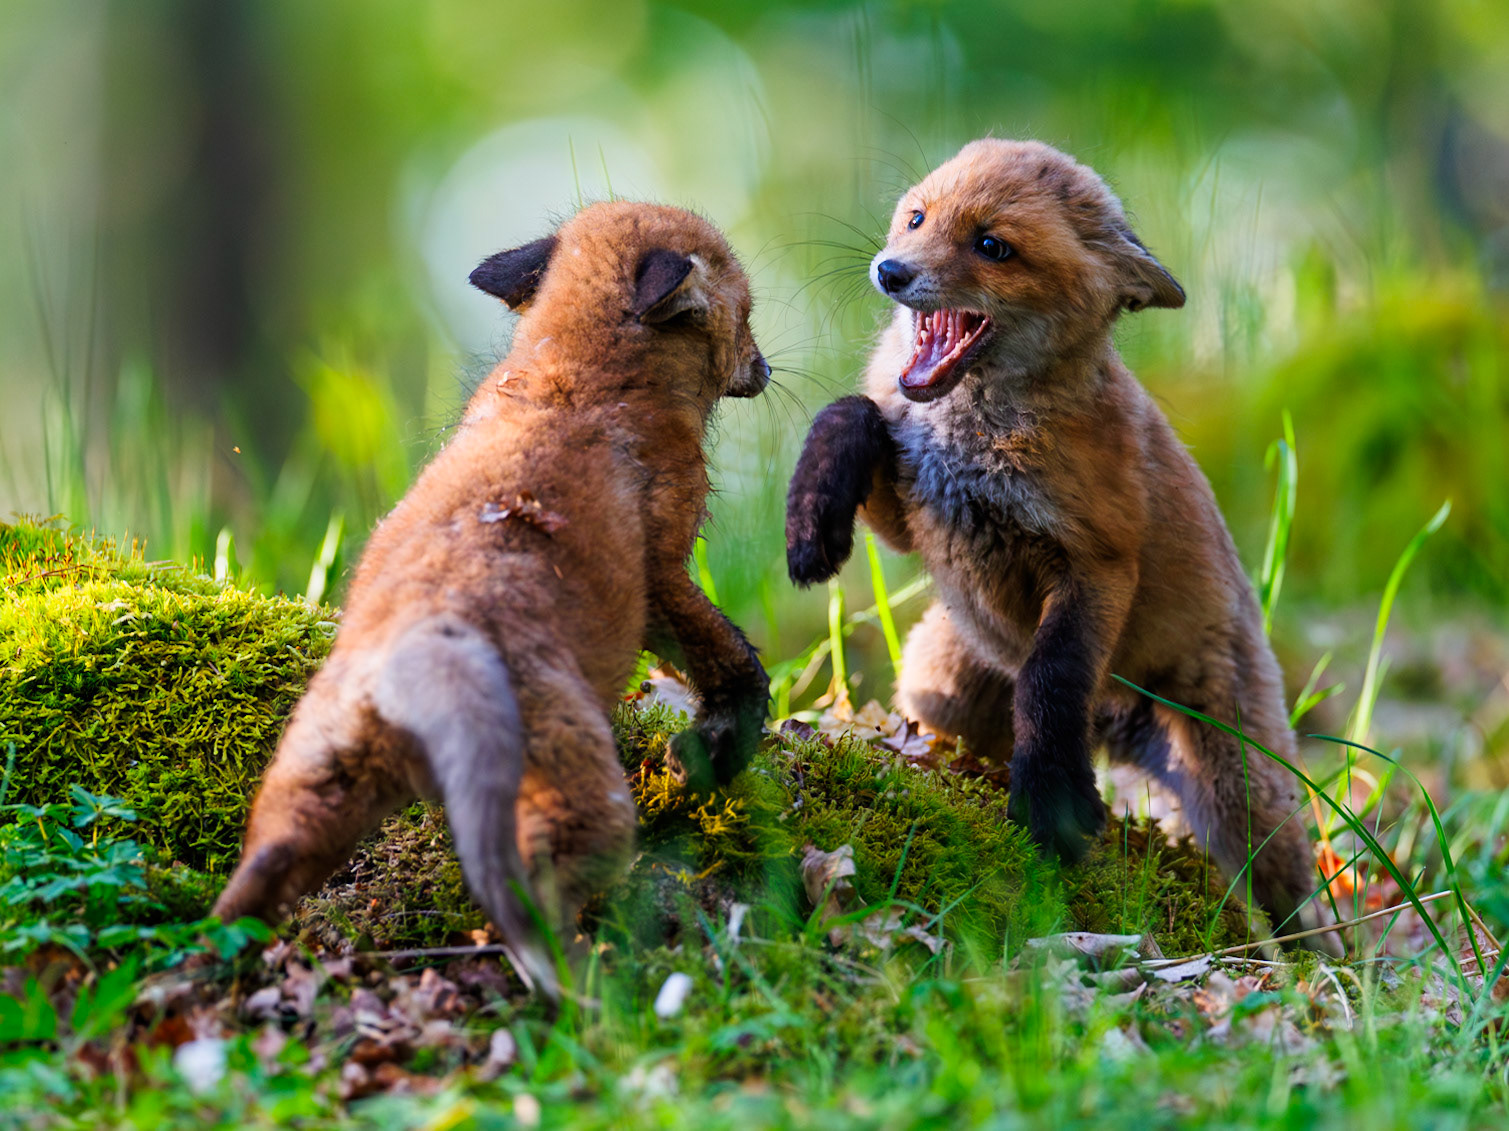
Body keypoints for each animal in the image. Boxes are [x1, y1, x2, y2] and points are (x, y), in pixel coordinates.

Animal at [212, 201, 772, 996]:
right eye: (748, 311)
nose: (765, 368)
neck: (580, 366)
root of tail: (432, 642)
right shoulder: (663, 573)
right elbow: (731, 659)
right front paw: (712, 749)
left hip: (317, 778)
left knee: (260, 870)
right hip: (584, 796)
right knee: (535, 888)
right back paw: (587, 987)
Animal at [786, 138, 1327, 942]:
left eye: (991, 246)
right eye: (916, 218)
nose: (890, 270)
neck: (971, 438)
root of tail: (1114, 724)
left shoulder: (1097, 562)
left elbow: (1052, 674)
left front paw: (1052, 801)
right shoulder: (909, 517)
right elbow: (851, 411)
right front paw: (810, 523)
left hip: (1236, 788)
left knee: (1287, 888)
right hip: (942, 680)